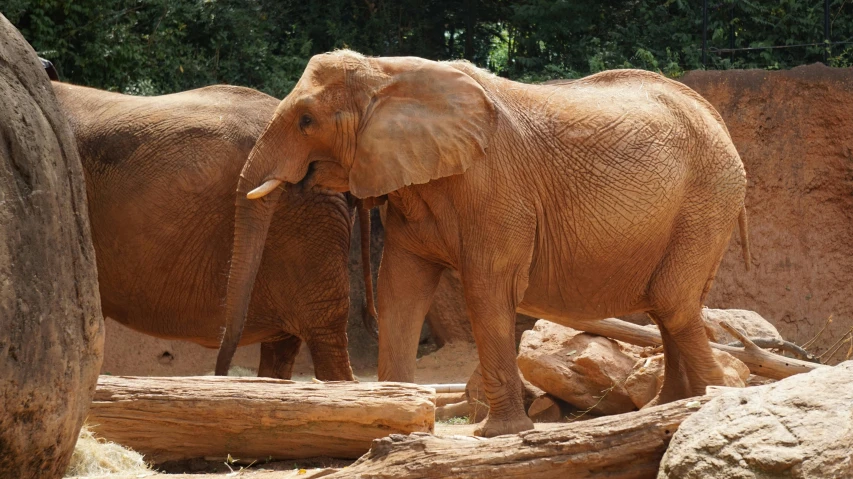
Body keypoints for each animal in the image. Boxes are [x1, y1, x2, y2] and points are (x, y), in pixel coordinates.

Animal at [223, 51, 748, 438]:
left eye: (306, 121)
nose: (224, 372)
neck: (387, 72)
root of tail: (717, 118)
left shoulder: (495, 187)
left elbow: (487, 289)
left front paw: (497, 434)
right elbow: (400, 291)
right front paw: (393, 421)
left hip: (707, 200)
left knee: (672, 301)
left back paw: (704, 401)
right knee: (672, 305)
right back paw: (665, 407)